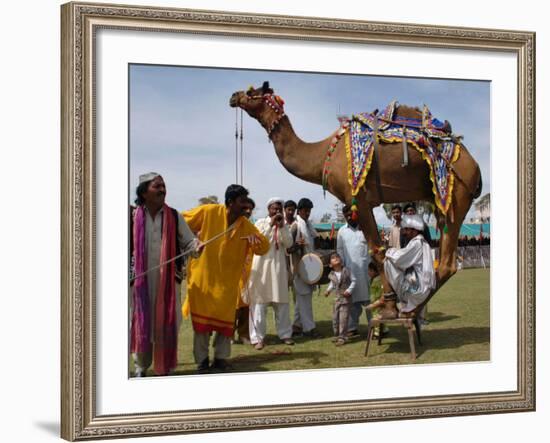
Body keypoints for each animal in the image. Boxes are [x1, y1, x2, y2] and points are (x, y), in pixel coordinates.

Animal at [229, 83, 484, 320]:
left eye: (252, 92)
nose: (234, 96)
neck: (324, 155)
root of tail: (475, 167)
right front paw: (383, 302)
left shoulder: (360, 198)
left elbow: (377, 250)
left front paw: (388, 306)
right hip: (442, 202)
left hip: (456, 193)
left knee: (448, 262)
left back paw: (410, 309)